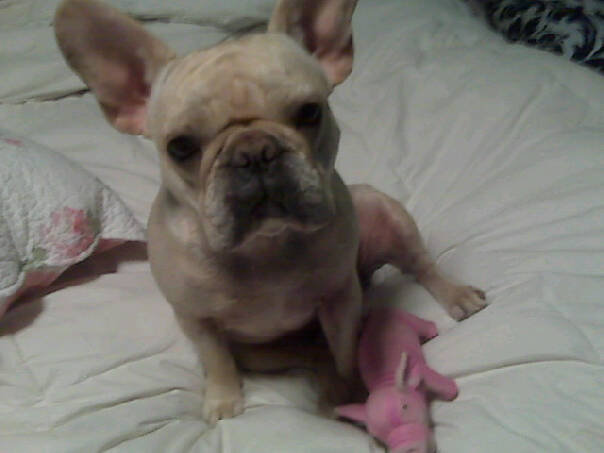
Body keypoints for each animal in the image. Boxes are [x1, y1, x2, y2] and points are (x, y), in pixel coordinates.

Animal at [54, 0, 487, 424]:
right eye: (180, 147)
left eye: (310, 112)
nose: (253, 151)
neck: (266, 247)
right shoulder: (197, 320)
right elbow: (217, 360)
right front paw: (223, 401)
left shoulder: (340, 298)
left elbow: (346, 348)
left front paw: (355, 388)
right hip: (264, 351)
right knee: (311, 354)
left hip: (383, 211)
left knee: (419, 264)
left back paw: (457, 295)